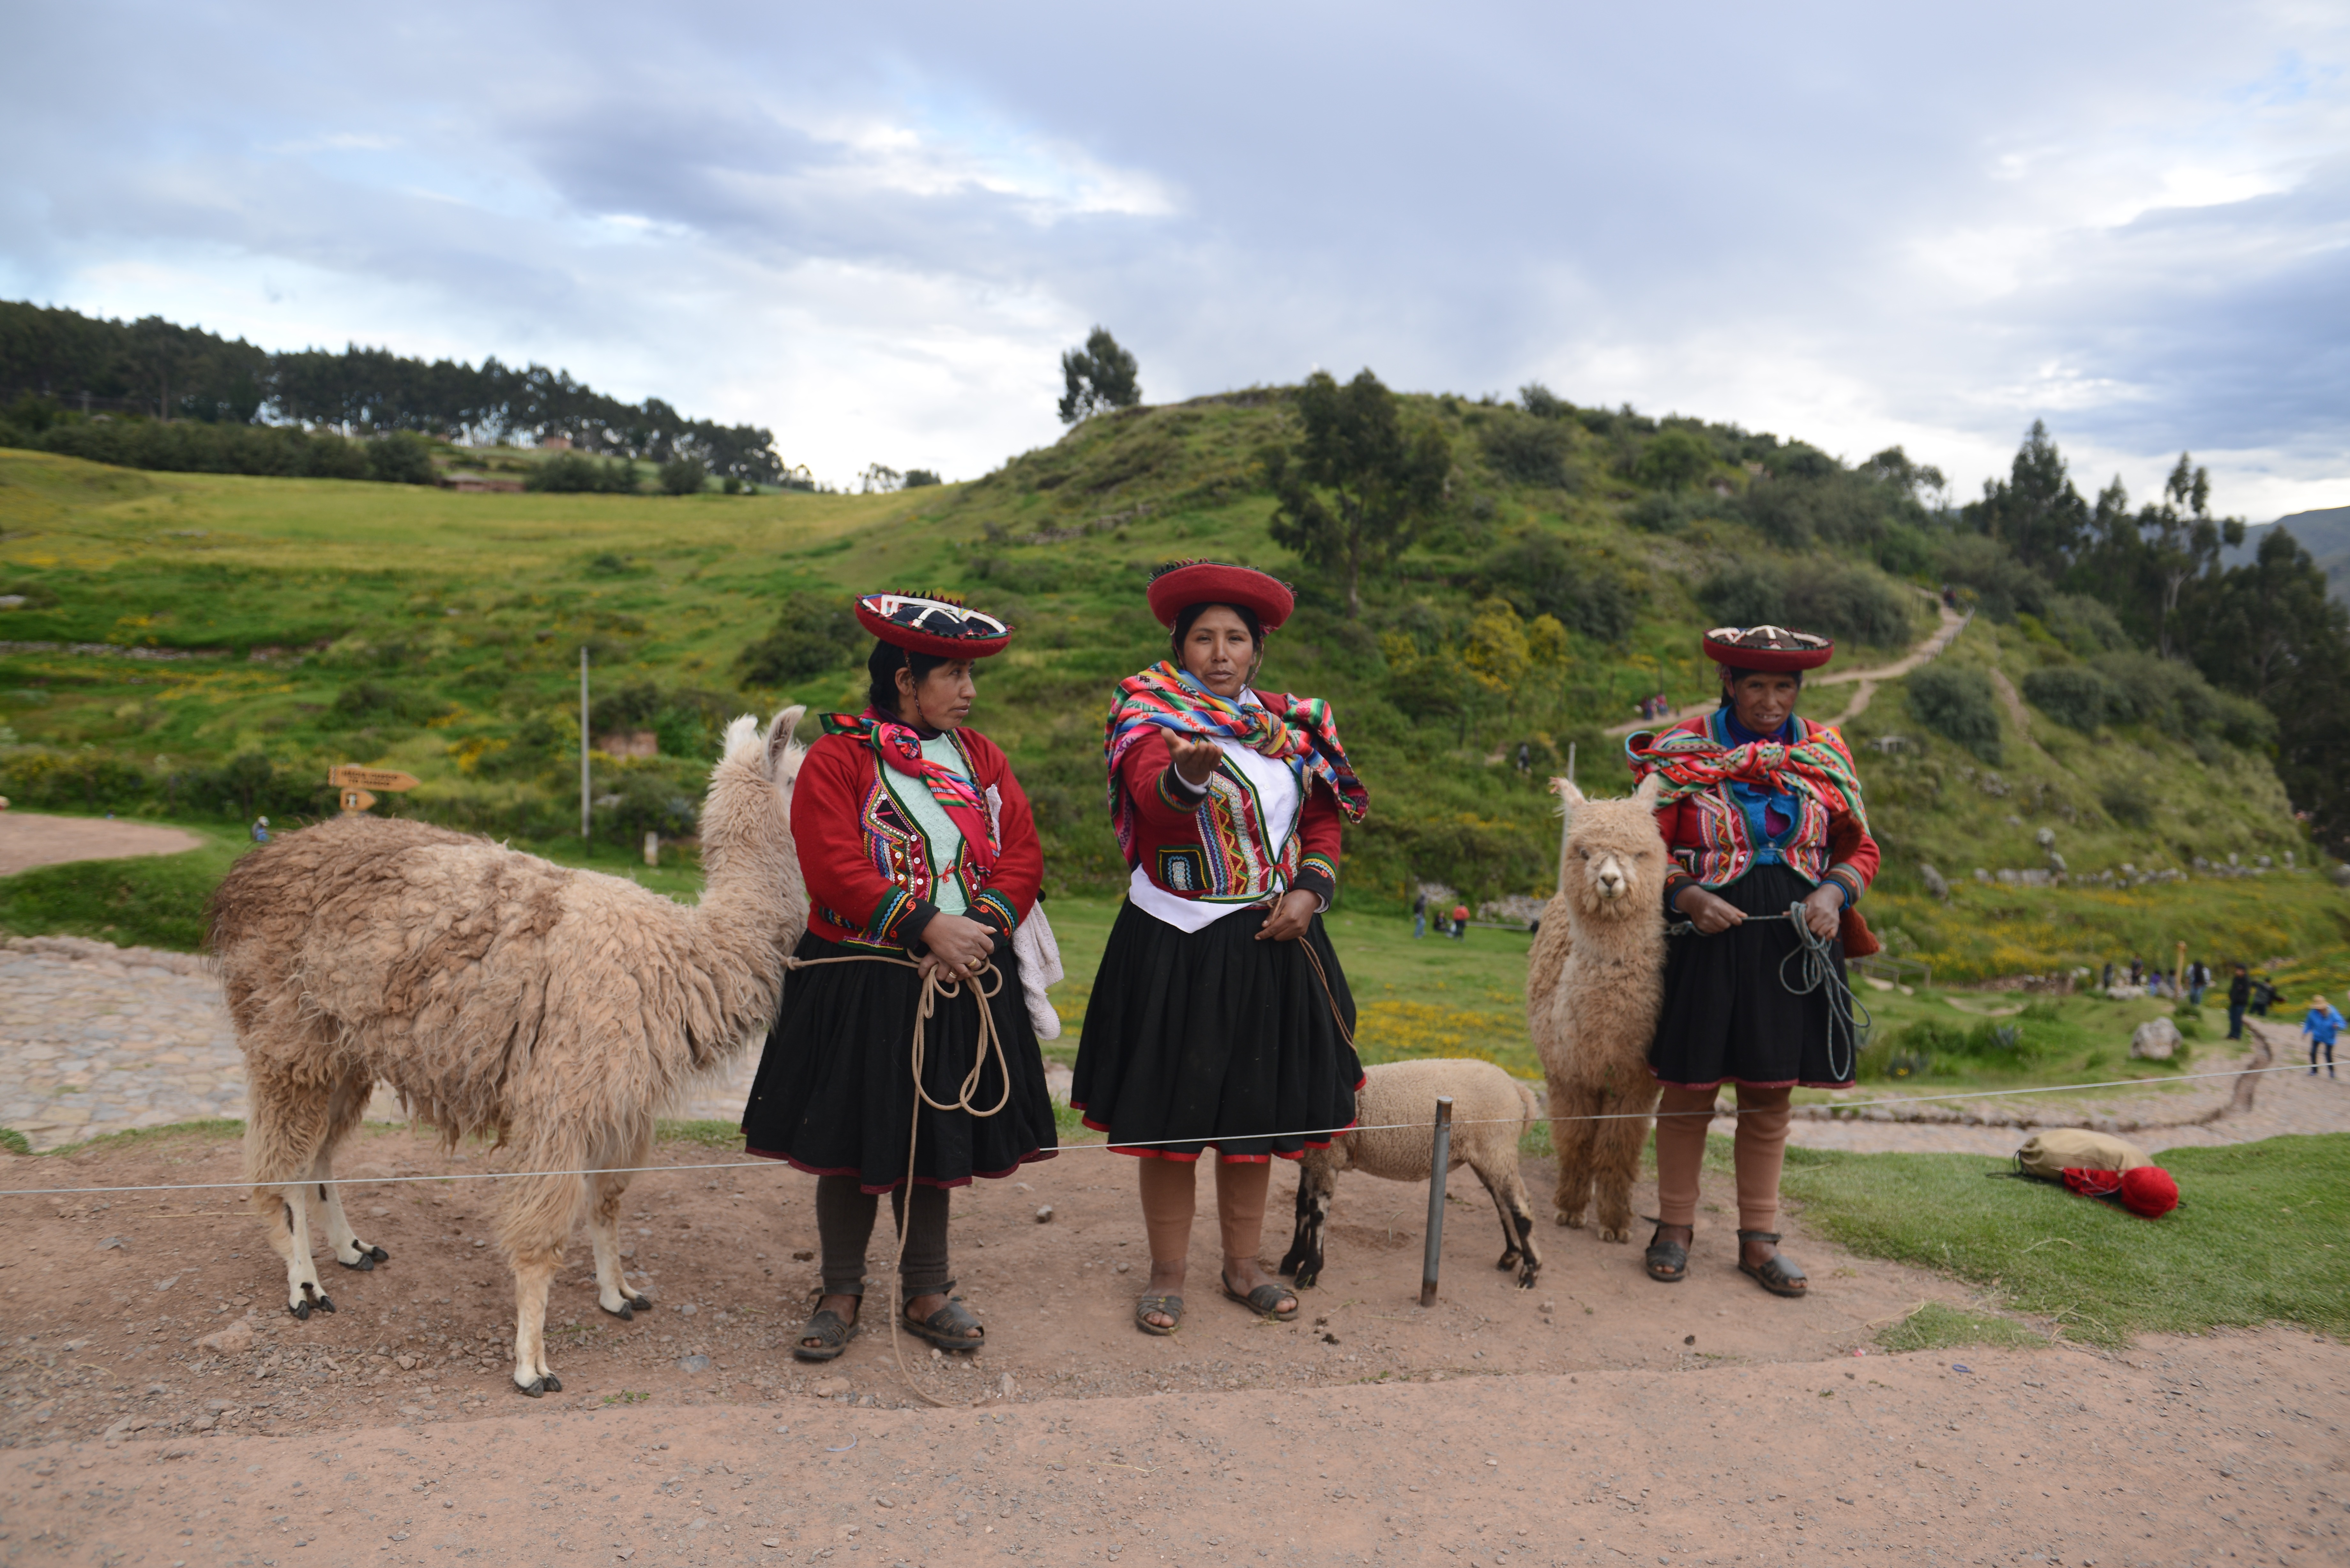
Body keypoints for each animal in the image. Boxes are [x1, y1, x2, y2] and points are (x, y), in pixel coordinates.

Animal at [1278, 1062, 1551, 1298]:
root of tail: (1517, 1087)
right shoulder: (1312, 1162)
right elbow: (1301, 1210)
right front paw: (1291, 1261)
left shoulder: (1327, 1160)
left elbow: (1318, 1215)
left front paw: (1309, 1273)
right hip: (1489, 1155)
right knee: (1504, 1203)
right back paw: (1511, 1257)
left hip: (1496, 1147)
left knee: (1519, 1205)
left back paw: (1531, 1271)